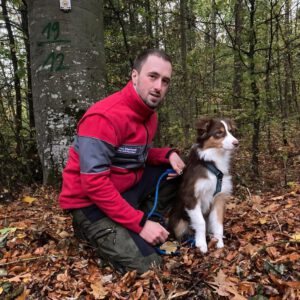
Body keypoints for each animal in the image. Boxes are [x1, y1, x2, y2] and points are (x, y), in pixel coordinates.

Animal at [170, 118, 238, 253]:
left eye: (231, 131)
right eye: (219, 133)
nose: (236, 143)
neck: (212, 163)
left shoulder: (218, 198)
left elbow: (218, 222)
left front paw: (219, 242)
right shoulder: (191, 197)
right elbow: (201, 222)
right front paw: (201, 244)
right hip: (178, 221)